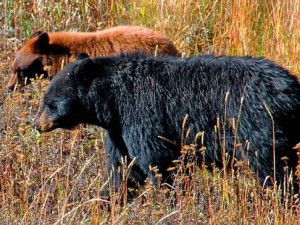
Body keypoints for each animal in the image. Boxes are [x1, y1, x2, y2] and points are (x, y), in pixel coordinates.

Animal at [34, 52, 298, 195]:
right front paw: (107, 200)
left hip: (257, 125)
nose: (37, 124)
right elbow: (122, 169)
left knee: (272, 169)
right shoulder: (119, 130)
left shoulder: (142, 115)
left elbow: (158, 162)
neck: (113, 100)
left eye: (50, 103)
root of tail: (291, 90)